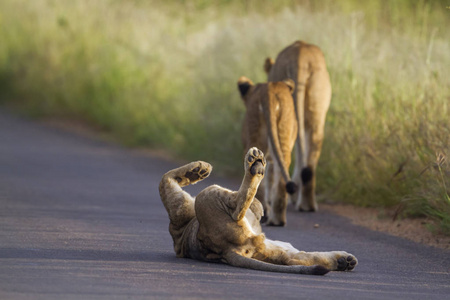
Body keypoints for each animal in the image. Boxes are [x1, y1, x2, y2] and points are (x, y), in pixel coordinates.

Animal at [160, 146, 356, 276]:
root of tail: (224, 250)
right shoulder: (179, 209)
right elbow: (164, 179)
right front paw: (197, 171)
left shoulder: (179, 210)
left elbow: (165, 178)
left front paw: (197, 171)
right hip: (205, 196)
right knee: (236, 208)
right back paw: (255, 164)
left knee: (298, 258)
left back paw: (344, 261)